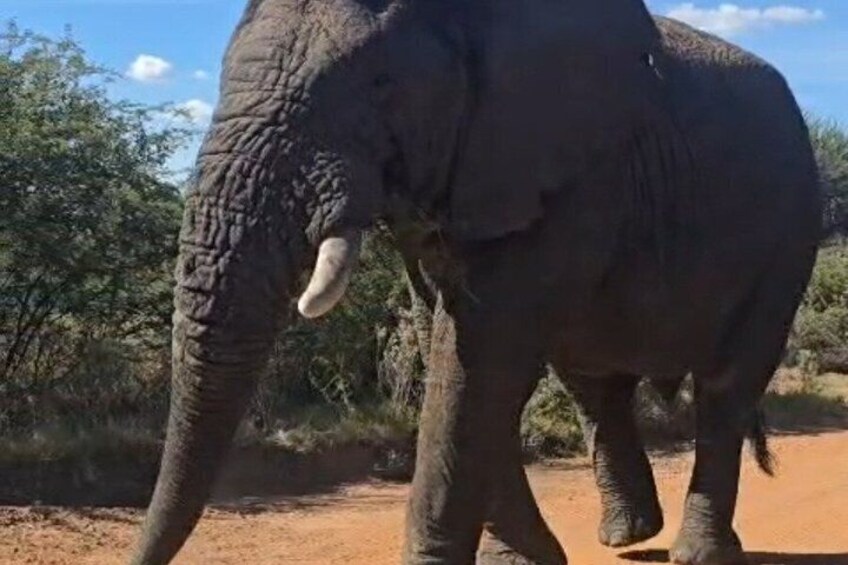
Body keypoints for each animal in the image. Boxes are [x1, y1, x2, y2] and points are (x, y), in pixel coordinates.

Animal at [131, 1, 821, 564]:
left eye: (381, 86)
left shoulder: (567, 171)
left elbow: (481, 354)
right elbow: (459, 349)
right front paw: (520, 562)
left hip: (789, 236)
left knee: (727, 384)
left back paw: (698, 553)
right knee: (595, 385)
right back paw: (626, 537)